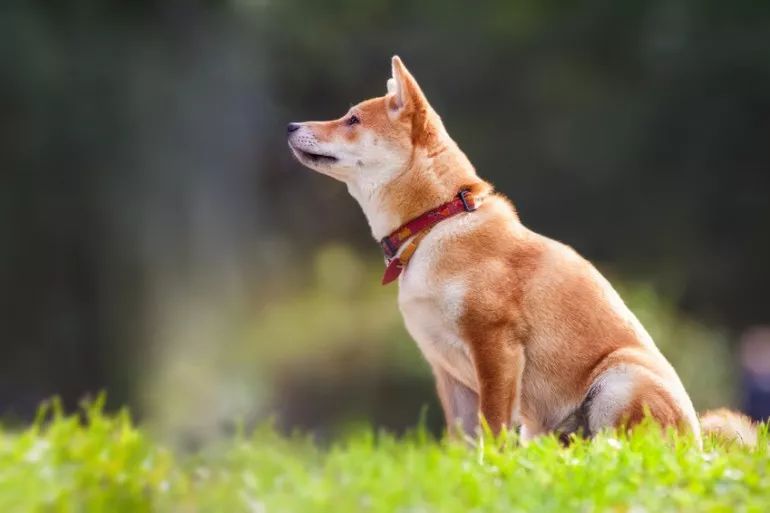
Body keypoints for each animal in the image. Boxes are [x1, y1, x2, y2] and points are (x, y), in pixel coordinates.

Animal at [284, 55, 752, 444]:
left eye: (352, 119)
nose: (290, 126)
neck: (437, 221)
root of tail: (697, 444)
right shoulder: (447, 371)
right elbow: (461, 439)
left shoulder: (495, 345)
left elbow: (492, 426)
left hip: (619, 380)